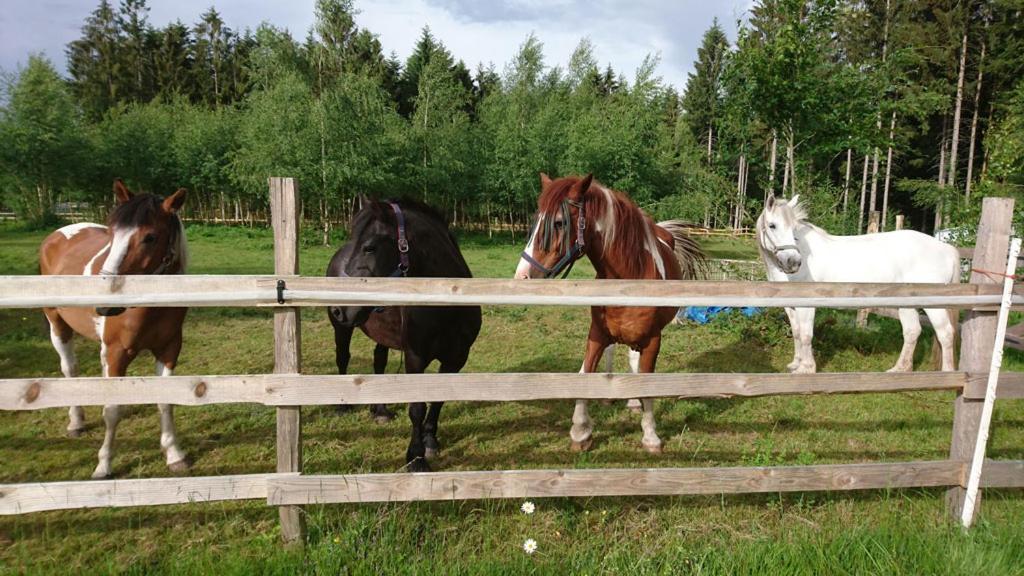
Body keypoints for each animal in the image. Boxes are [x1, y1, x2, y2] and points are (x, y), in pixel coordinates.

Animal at [39, 179, 191, 475]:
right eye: (112, 233)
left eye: (150, 237)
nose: (104, 306)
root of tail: (58, 234)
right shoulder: (117, 352)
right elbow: (112, 409)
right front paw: (104, 464)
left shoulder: (169, 349)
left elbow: (165, 400)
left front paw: (174, 455)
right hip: (57, 324)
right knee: (69, 368)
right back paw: (76, 423)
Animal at [512, 172, 704, 450]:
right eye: (536, 221)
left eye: (559, 223)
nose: (522, 277)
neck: (631, 274)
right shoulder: (597, 333)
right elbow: (585, 373)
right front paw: (581, 431)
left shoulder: (653, 340)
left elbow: (646, 381)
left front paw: (651, 436)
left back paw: (633, 403)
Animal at [753, 192, 958, 373]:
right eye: (772, 225)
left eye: (794, 229)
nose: (793, 262)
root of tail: (946, 249)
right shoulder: (791, 305)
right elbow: (796, 332)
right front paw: (796, 364)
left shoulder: (807, 305)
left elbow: (806, 334)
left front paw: (806, 369)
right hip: (906, 303)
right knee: (912, 331)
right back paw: (899, 369)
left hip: (933, 304)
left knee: (945, 333)